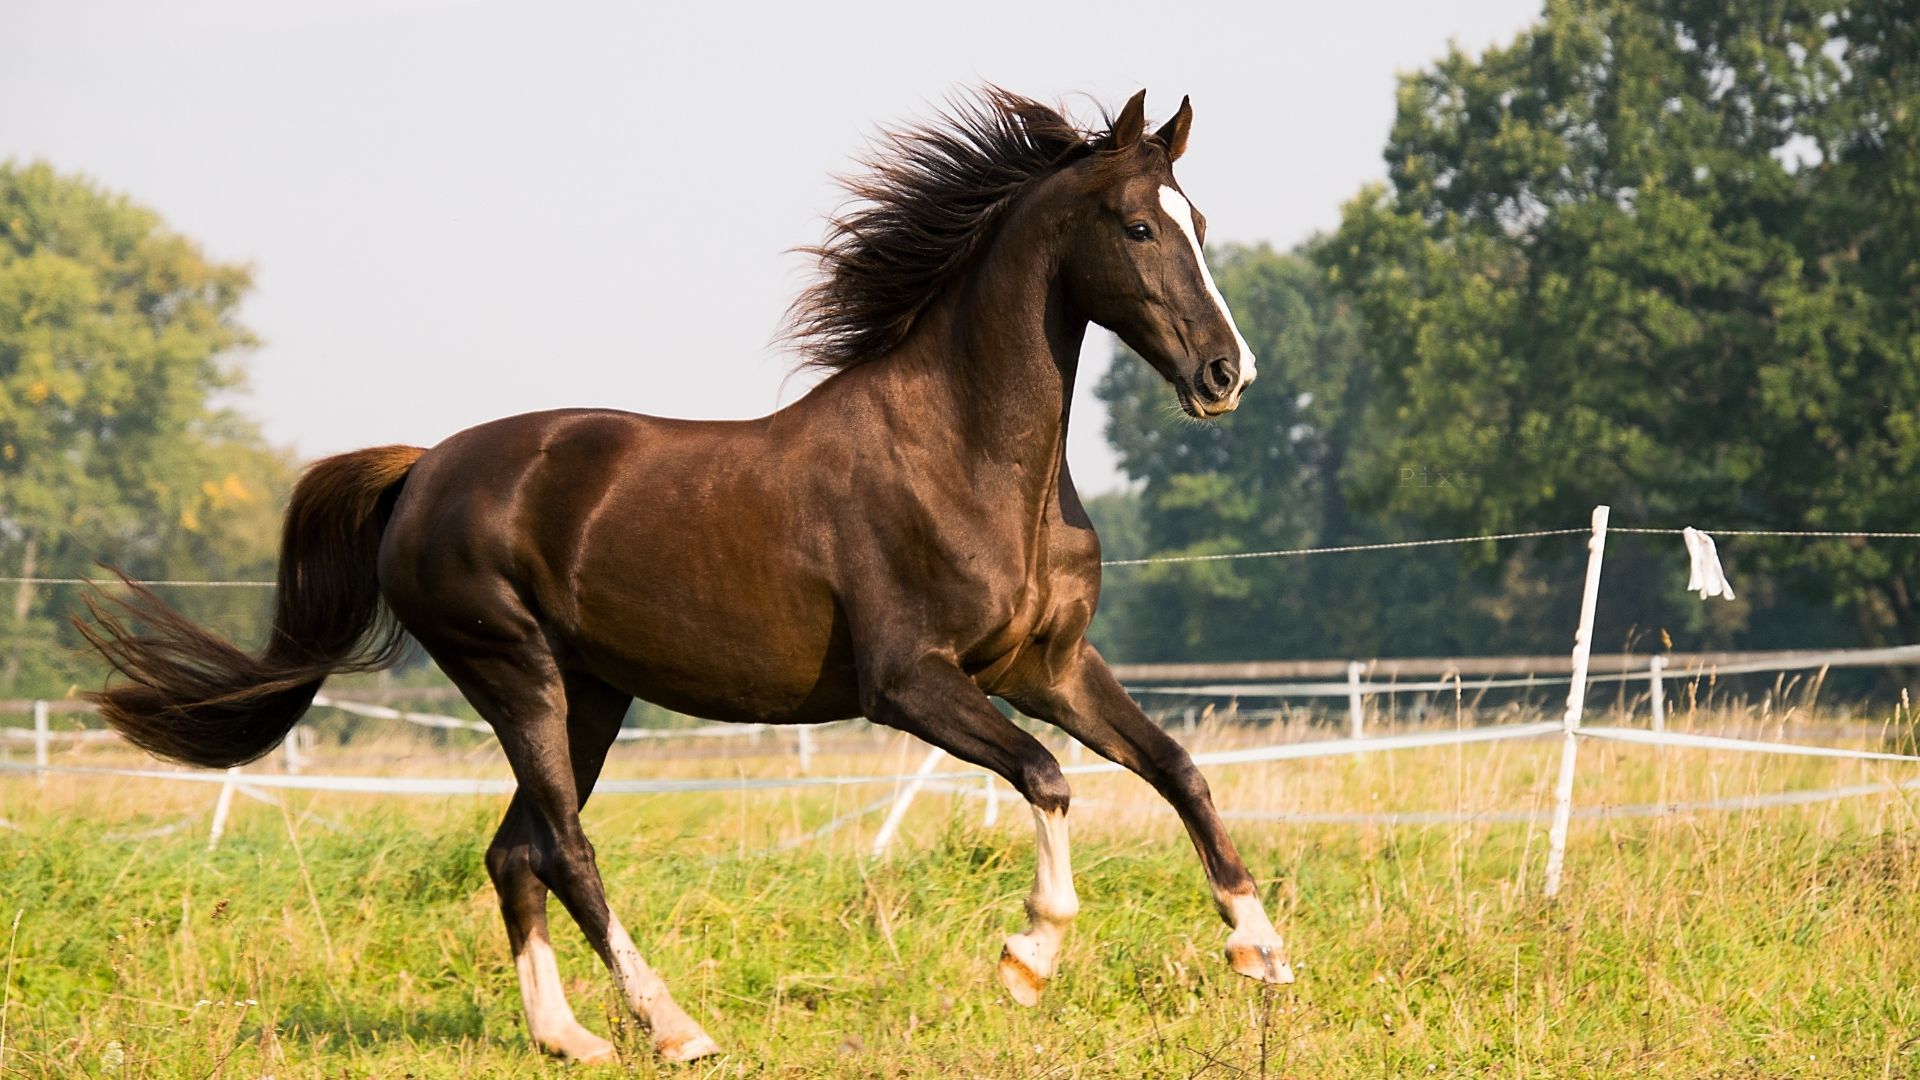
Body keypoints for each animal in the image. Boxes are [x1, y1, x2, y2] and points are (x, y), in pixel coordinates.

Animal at [77, 87, 1292, 1064]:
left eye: (1198, 222)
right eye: (1138, 225)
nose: (1225, 375)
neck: (968, 458)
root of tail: (422, 471)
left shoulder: (1049, 666)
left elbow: (1177, 768)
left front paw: (1261, 949)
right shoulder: (911, 684)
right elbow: (1047, 777)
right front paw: (1029, 958)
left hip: (592, 693)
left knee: (513, 851)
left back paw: (567, 1038)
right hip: (515, 673)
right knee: (564, 848)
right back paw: (674, 1027)